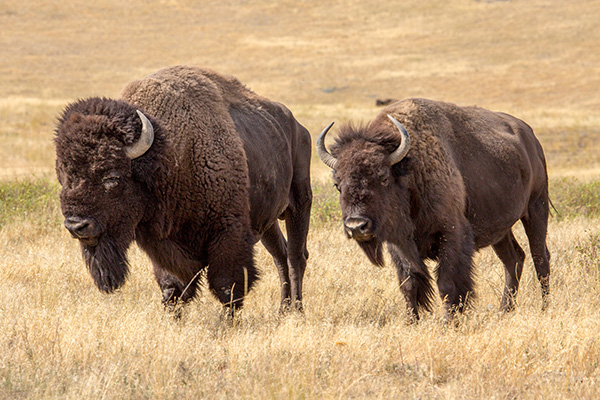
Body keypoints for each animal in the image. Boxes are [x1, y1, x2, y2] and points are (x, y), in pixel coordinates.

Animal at [55, 65, 314, 314]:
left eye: (112, 178)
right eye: (64, 176)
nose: (77, 226)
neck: (170, 155)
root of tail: (298, 127)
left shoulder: (228, 233)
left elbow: (227, 286)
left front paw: (226, 324)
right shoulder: (162, 243)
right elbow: (173, 287)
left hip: (300, 202)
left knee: (296, 256)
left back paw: (297, 310)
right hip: (268, 221)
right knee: (280, 254)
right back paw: (283, 309)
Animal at [316, 98, 552, 320]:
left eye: (383, 178)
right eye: (337, 184)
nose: (356, 226)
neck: (410, 169)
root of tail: (531, 139)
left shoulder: (451, 235)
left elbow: (447, 284)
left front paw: (448, 323)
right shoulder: (398, 245)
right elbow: (409, 283)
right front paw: (411, 322)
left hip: (536, 210)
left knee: (540, 258)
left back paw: (544, 308)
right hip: (501, 229)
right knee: (514, 259)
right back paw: (504, 310)